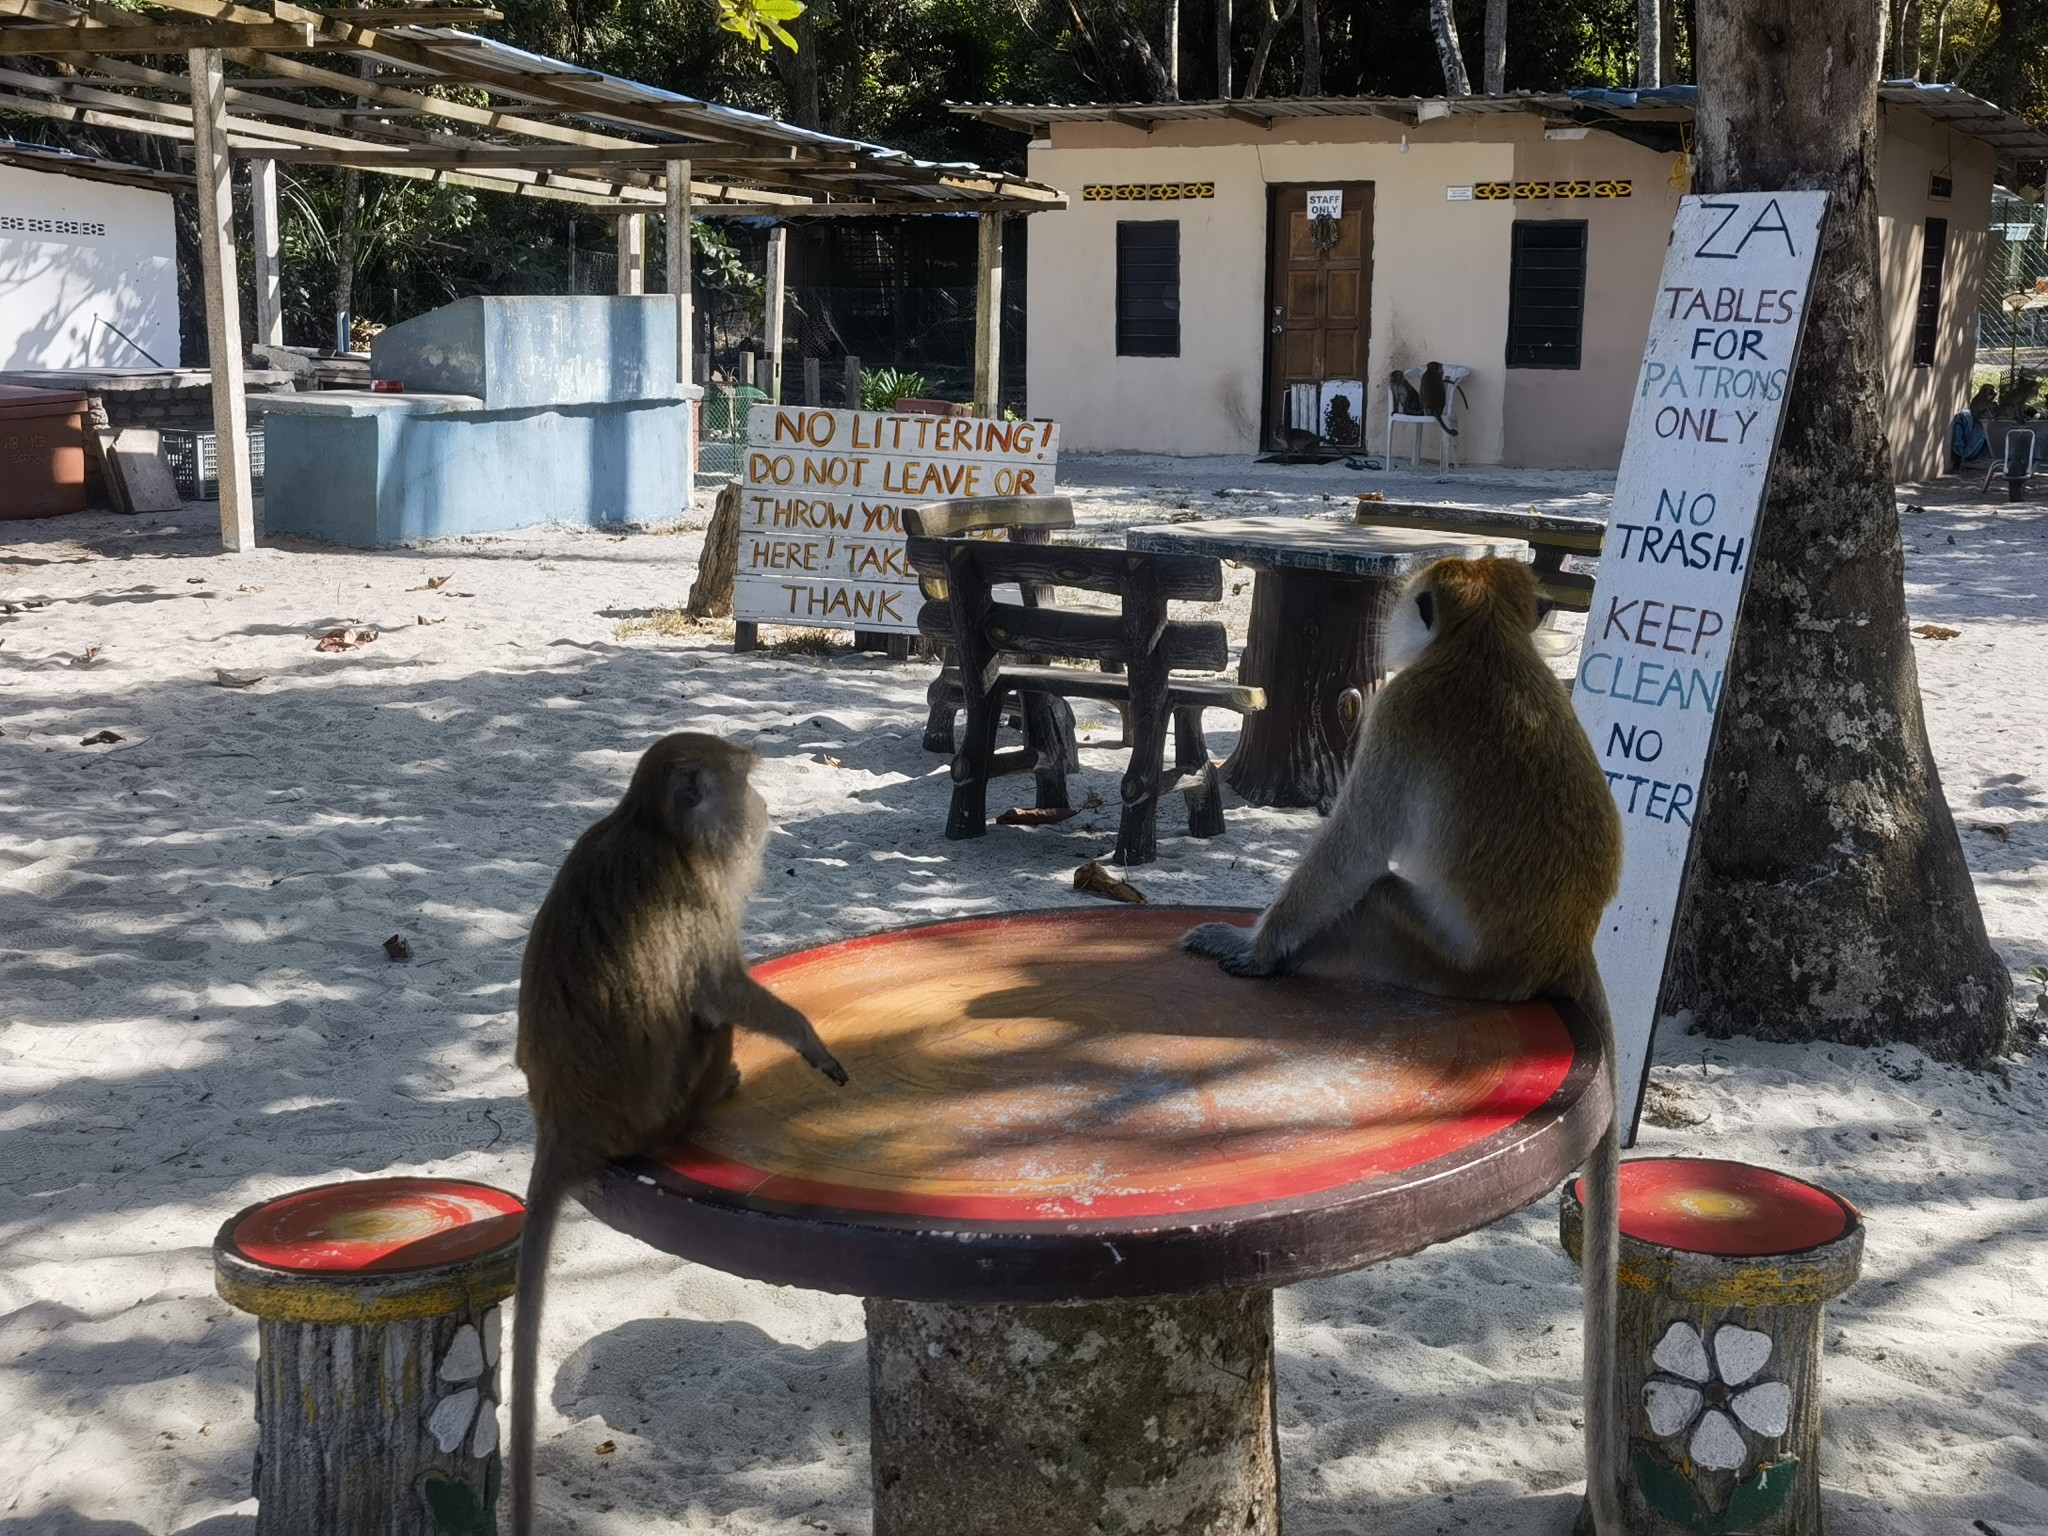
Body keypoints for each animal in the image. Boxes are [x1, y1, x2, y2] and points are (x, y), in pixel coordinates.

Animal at [512, 737, 847, 1536]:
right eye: (744, 784)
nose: (765, 806)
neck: (654, 828)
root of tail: (562, 1125)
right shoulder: (697, 899)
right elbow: (717, 992)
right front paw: (806, 1036)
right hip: (667, 1110)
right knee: (709, 1020)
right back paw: (724, 1087)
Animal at [1187, 561, 1630, 1536]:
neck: (1488, 643)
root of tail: (1568, 944)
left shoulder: (1400, 711)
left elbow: (1351, 851)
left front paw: (1257, 948)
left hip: (1426, 955)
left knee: (1376, 892)